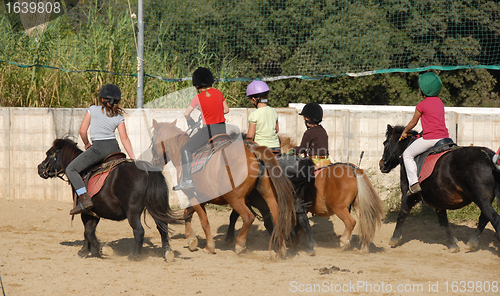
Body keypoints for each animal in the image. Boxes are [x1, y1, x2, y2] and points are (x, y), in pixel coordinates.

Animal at [38, 139, 184, 262]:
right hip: (155, 207)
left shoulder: (85, 211)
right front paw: (86, 251)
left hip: (133, 211)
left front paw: (101, 249)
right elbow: (89, 231)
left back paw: (134, 256)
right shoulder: (94, 212)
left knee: (139, 231)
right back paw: (167, 253)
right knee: (162, 227)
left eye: (48, 153)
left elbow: (88, 232)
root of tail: (147, 171)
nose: (40, 168)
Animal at [150, 119, 294, 258]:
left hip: (234, 198)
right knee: (276, 217)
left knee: (248, 217)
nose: (153, 164)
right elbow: (187, 212)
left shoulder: (192, 194)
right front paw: (191, 239)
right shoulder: (202, 196)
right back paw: (281, 249)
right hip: (266, 195)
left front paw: (209, 247)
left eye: (152, 141)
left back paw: (240, 244)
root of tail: (253, 150)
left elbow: (203, 220)